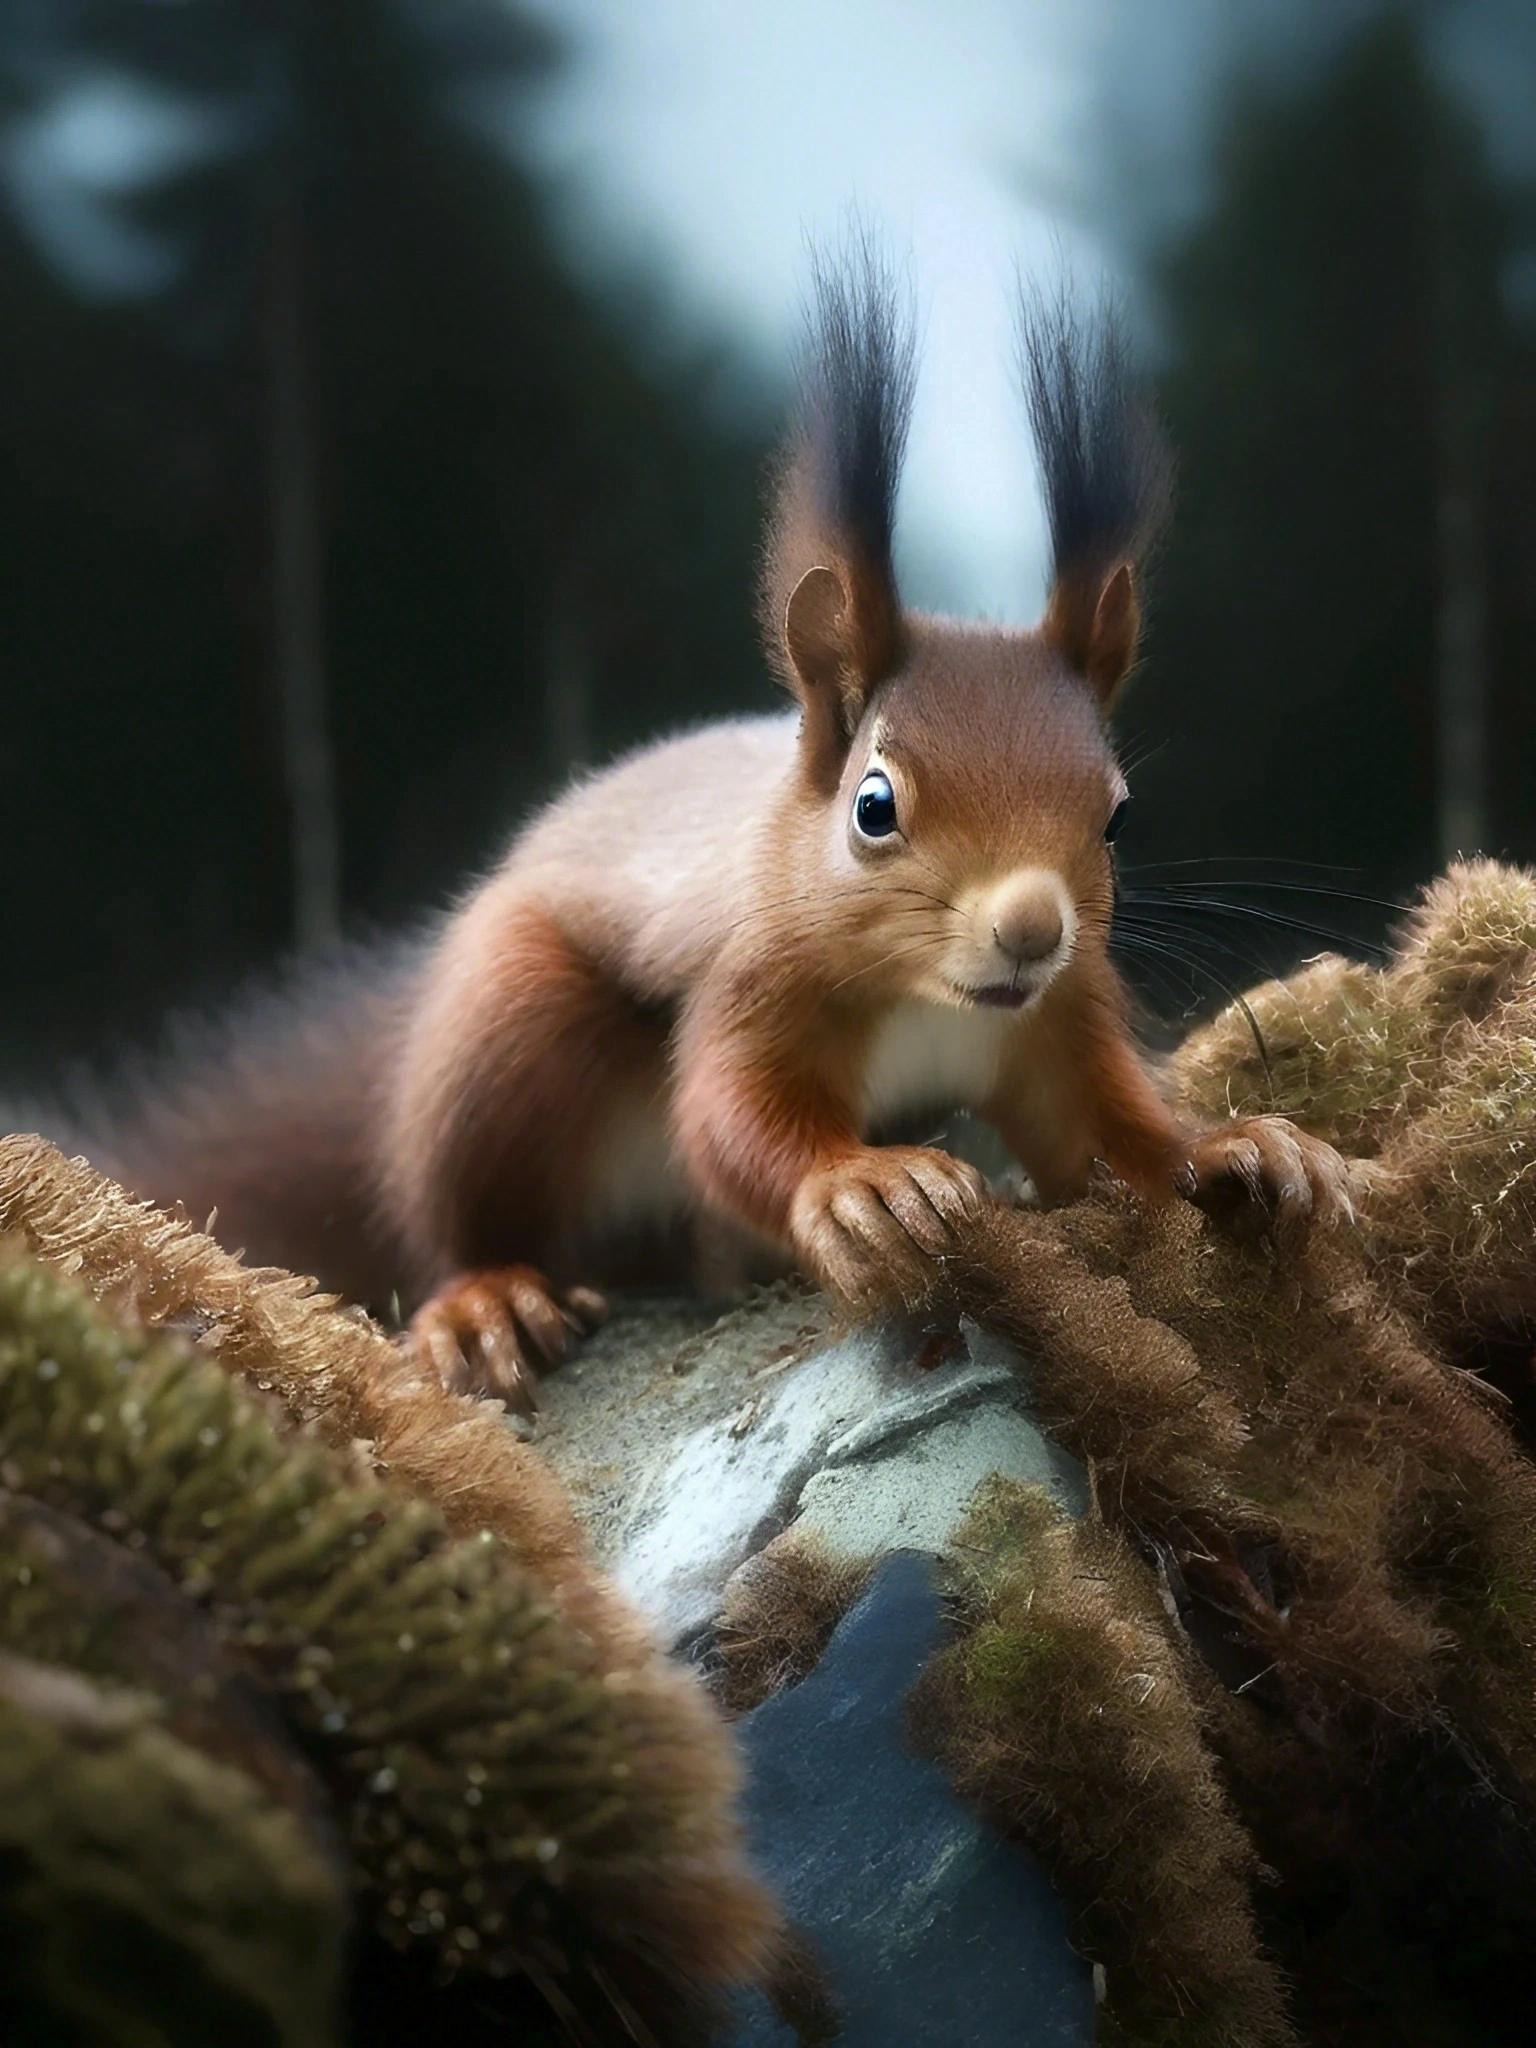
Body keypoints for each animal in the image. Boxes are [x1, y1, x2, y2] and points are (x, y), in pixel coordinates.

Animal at [57, 244, 1351, 1406]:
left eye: (1118, 815)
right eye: (874, 806)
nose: (1034, 928)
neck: (930, 999)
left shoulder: (1053, 1024)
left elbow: (1104, 1128)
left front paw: (1239, 1146)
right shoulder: (750, 982)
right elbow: (729, 1121)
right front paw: (856, 1189)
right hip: (506, 1035)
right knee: (462, 1213)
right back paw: (488, 1299)